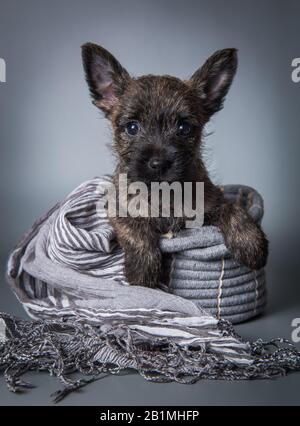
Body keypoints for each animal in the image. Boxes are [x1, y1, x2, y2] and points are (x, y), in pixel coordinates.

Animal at [81, 43, 268, 288]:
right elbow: (134, 229)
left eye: (184, 128)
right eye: (132, 127)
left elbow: (233, 209)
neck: (164, 193)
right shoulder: (117, 207)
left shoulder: (211, 203)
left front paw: (251, 242)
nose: (159, 163)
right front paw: (143, 269)